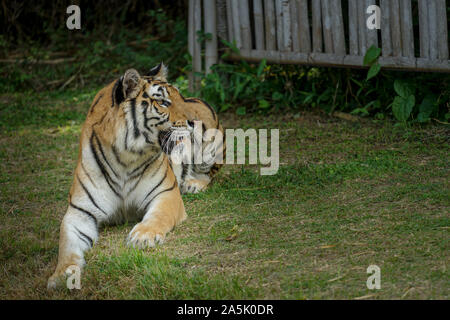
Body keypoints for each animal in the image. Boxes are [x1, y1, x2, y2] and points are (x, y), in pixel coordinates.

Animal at [47, 65, 197, 290]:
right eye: (163, 102)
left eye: (181, 98)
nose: (195, 121)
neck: (126, 158)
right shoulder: (79, 211)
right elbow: (66, 245)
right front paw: (62, 274)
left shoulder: (166, 193)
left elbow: (158, 216)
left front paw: (143, 236)